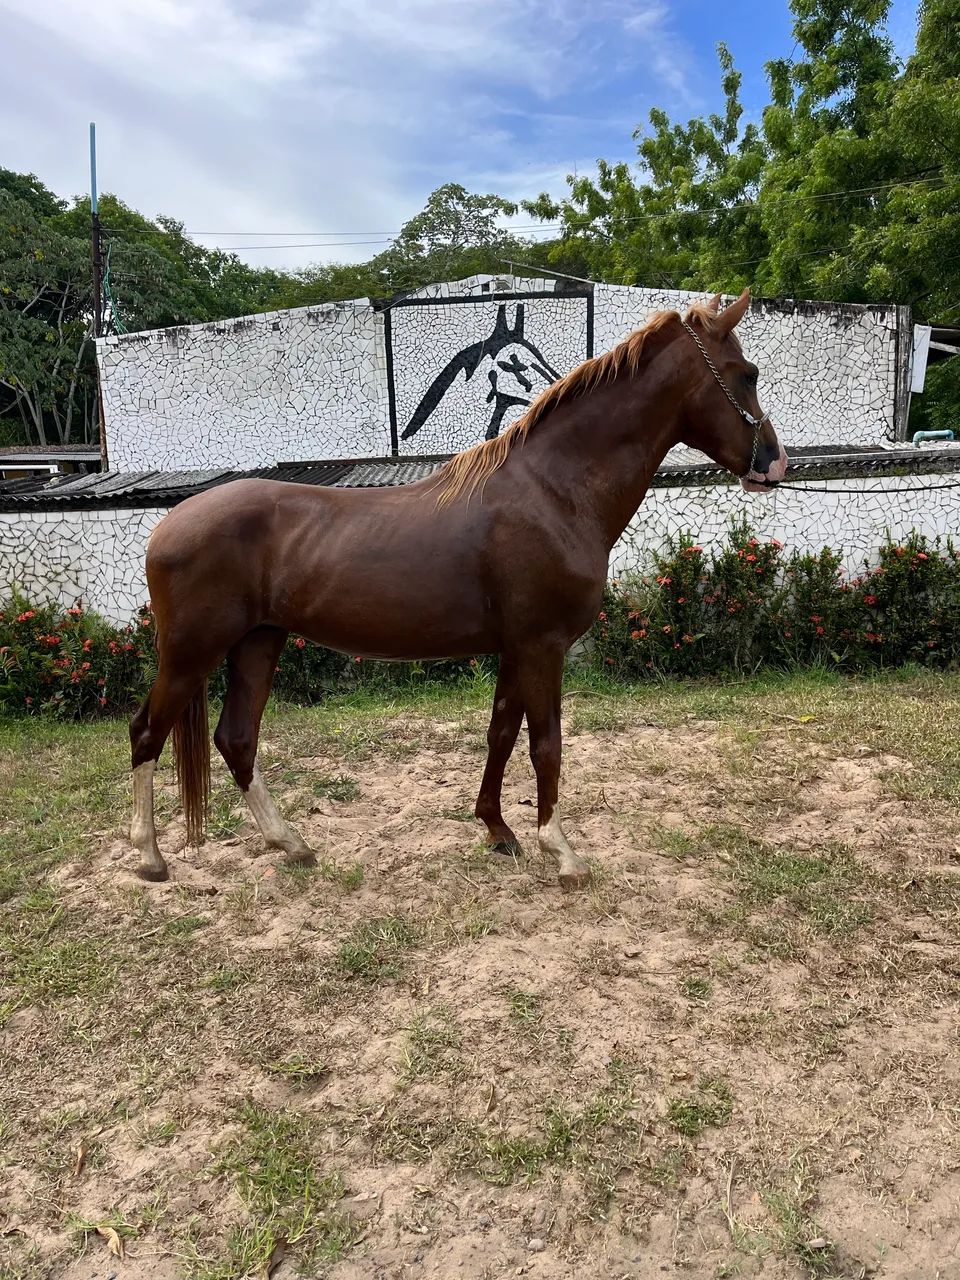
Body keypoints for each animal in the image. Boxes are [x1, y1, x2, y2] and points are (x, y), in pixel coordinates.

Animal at [128, 287, 786, 890]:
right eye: (746, 374)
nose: (774, 464)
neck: (553, 491)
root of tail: (169, 522)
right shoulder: (542, 645)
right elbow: (546, 743)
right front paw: (561, 851)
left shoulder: (517, 648)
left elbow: (501, 733)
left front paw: (497, 829)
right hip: (191, 652)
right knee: (146, 733)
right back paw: (150, 858)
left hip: (258, 643)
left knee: (236, 739)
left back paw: (291, 844)